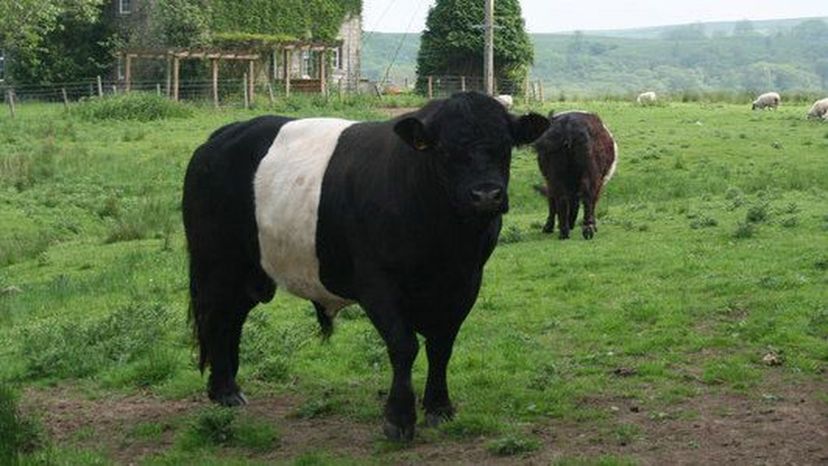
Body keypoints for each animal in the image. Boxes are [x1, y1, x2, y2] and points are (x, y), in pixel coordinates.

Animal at [184, 92, 552, 440]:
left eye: (504, 146)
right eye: (445, 151)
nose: (486, 195)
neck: (444, 240)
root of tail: (222, 135)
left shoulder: (466, 281)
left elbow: (441, 345)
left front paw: (439, 407)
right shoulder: (377, 282)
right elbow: (404, 345)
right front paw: (399, 419)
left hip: (248, 273)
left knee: (233, 318)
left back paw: (226, 387)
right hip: (215, 263)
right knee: (216, 317)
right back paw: (225, 392)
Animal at [532, 110, 616, 238]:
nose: (571, 224)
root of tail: (568, 125)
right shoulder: (599, 181)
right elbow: (593, 200)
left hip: (556, 174)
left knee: (561, 197)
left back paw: (564, 231)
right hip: (589, 172)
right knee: (586, 195)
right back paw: (587, 228)